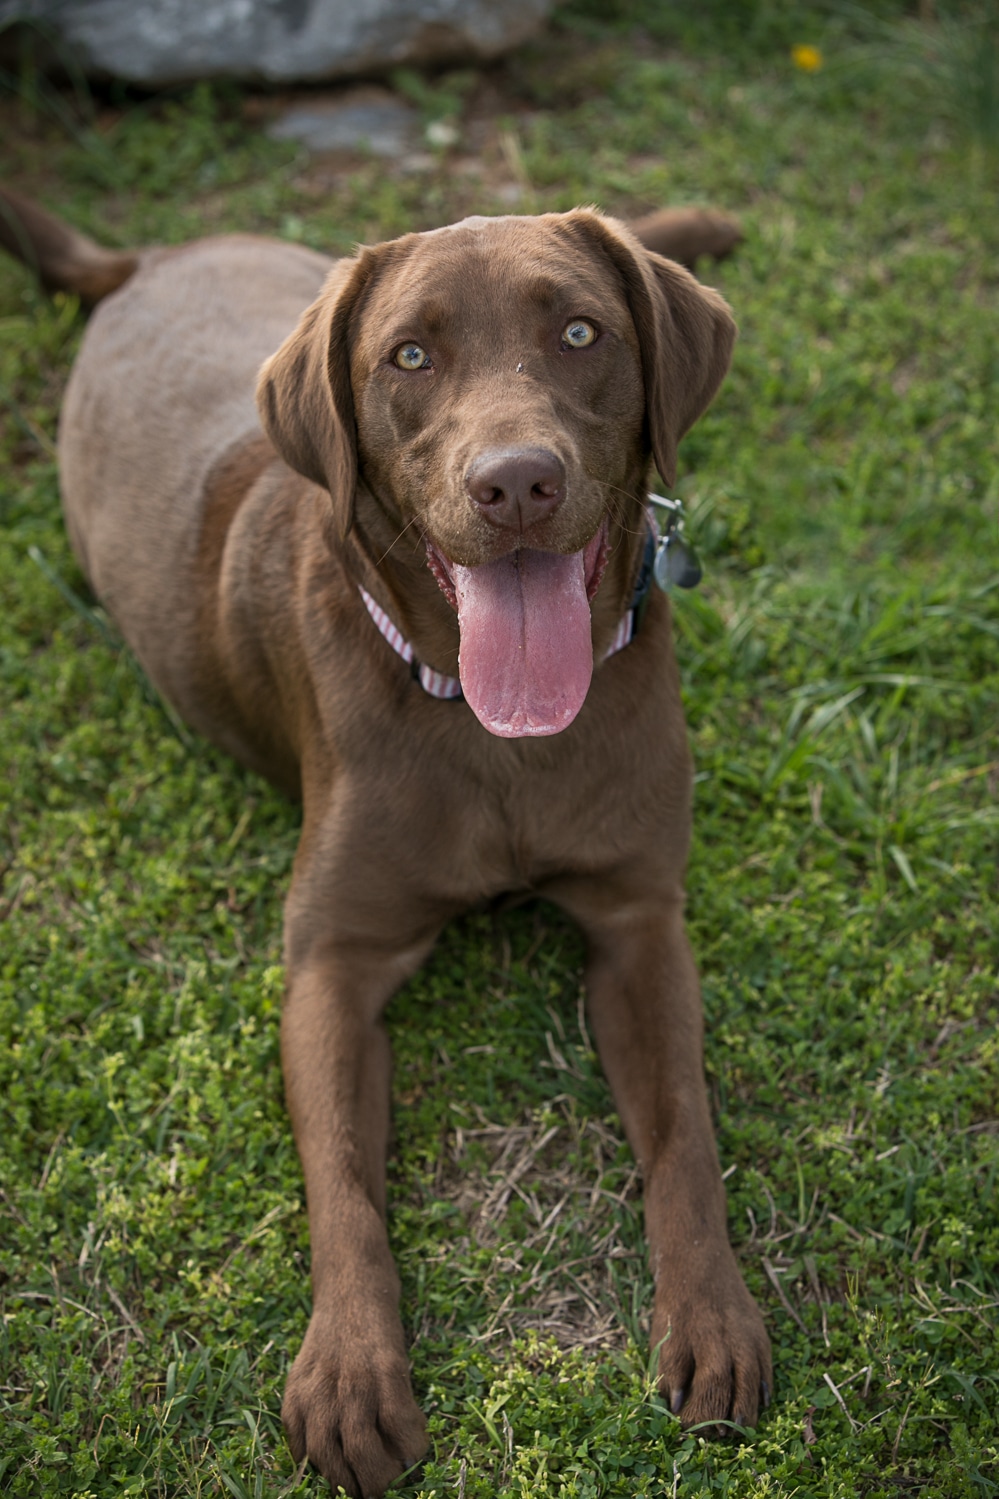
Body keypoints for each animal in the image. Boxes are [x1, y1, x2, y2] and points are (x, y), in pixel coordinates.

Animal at [0, 190, 765, 1499]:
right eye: (409, 357)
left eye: (579, 332)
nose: (517, 482)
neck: (498, 735)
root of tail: (147, 259)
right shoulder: (332, 965)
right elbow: (344, 1180)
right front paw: (352, 1369)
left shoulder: (639, 922)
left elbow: (682, 1132)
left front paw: (712, 1313)